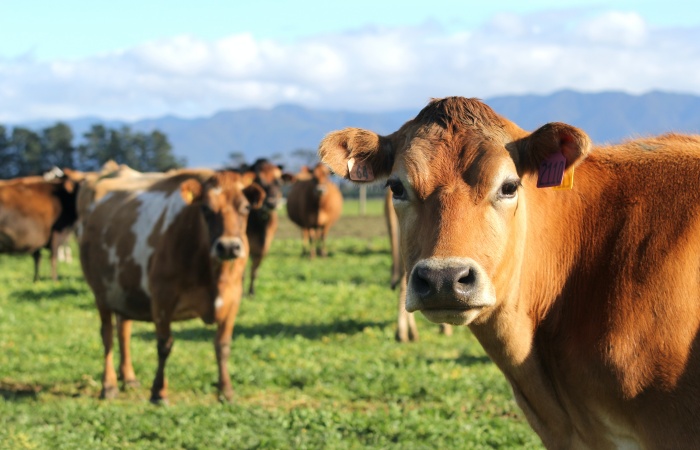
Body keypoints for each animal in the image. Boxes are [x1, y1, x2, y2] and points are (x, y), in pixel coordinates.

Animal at [80, 169, 266, 404]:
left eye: (246, 207)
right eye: (205, 208)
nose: (228, 246)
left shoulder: (233, 299)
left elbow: (222, 346)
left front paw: (226, 390)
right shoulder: (162, 300)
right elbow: (164, 346)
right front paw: (159, 391)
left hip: (123, 291)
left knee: (123, 330)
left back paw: (128, 377)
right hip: (101, 293)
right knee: (107, 336)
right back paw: (109, 385)